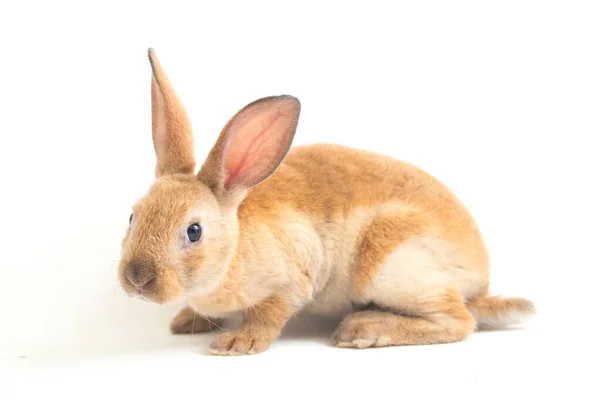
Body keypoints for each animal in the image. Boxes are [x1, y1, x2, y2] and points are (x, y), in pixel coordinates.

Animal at [117, 47, 536, 356]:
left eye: (194, 231)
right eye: (133, 218)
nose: (137, 279)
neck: (232, 248)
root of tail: (480, 284)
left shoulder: (292, 282)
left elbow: (269, 315)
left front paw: (237, 344)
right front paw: (185, 322)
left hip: (393, 265)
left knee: (458, 321)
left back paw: (364, 328)